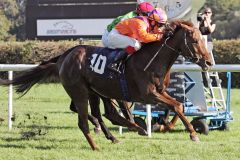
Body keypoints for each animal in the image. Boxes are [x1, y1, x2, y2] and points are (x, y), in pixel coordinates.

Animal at [0, 20, 212, 150]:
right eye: (195, 40)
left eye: (203, 39)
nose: (209, 62)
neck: (153, 60)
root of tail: (64, 57)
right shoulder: (147, 94)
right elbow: (175, 105)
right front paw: (193, 133)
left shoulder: (160, 91)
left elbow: (178, 105)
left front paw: (176, 128)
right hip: (80, 91)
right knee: (88, 119)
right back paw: (98, 144)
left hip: (96, 91)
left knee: (106, 114)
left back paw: (123, 133)